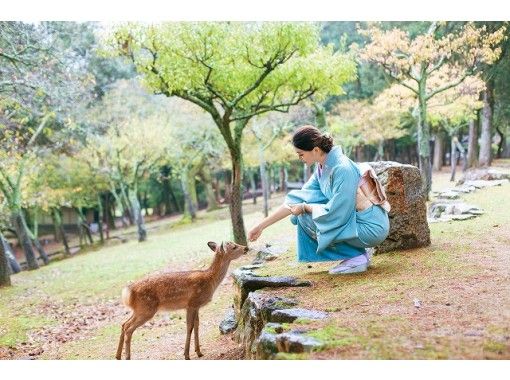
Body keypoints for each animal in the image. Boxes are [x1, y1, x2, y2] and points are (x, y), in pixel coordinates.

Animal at [116, 240, 251, 360]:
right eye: (233, 246)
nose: (246, 248)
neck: (210, 280)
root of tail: (128, 292)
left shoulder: (196, 306)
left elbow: (197, 325)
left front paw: (199, 352)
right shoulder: (192, 303)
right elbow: (189, 327)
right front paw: (187, 355)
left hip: (139, 309)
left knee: (124, 324)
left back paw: (118, 356)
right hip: (146, 308)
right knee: (128, 328)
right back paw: (127, 356)